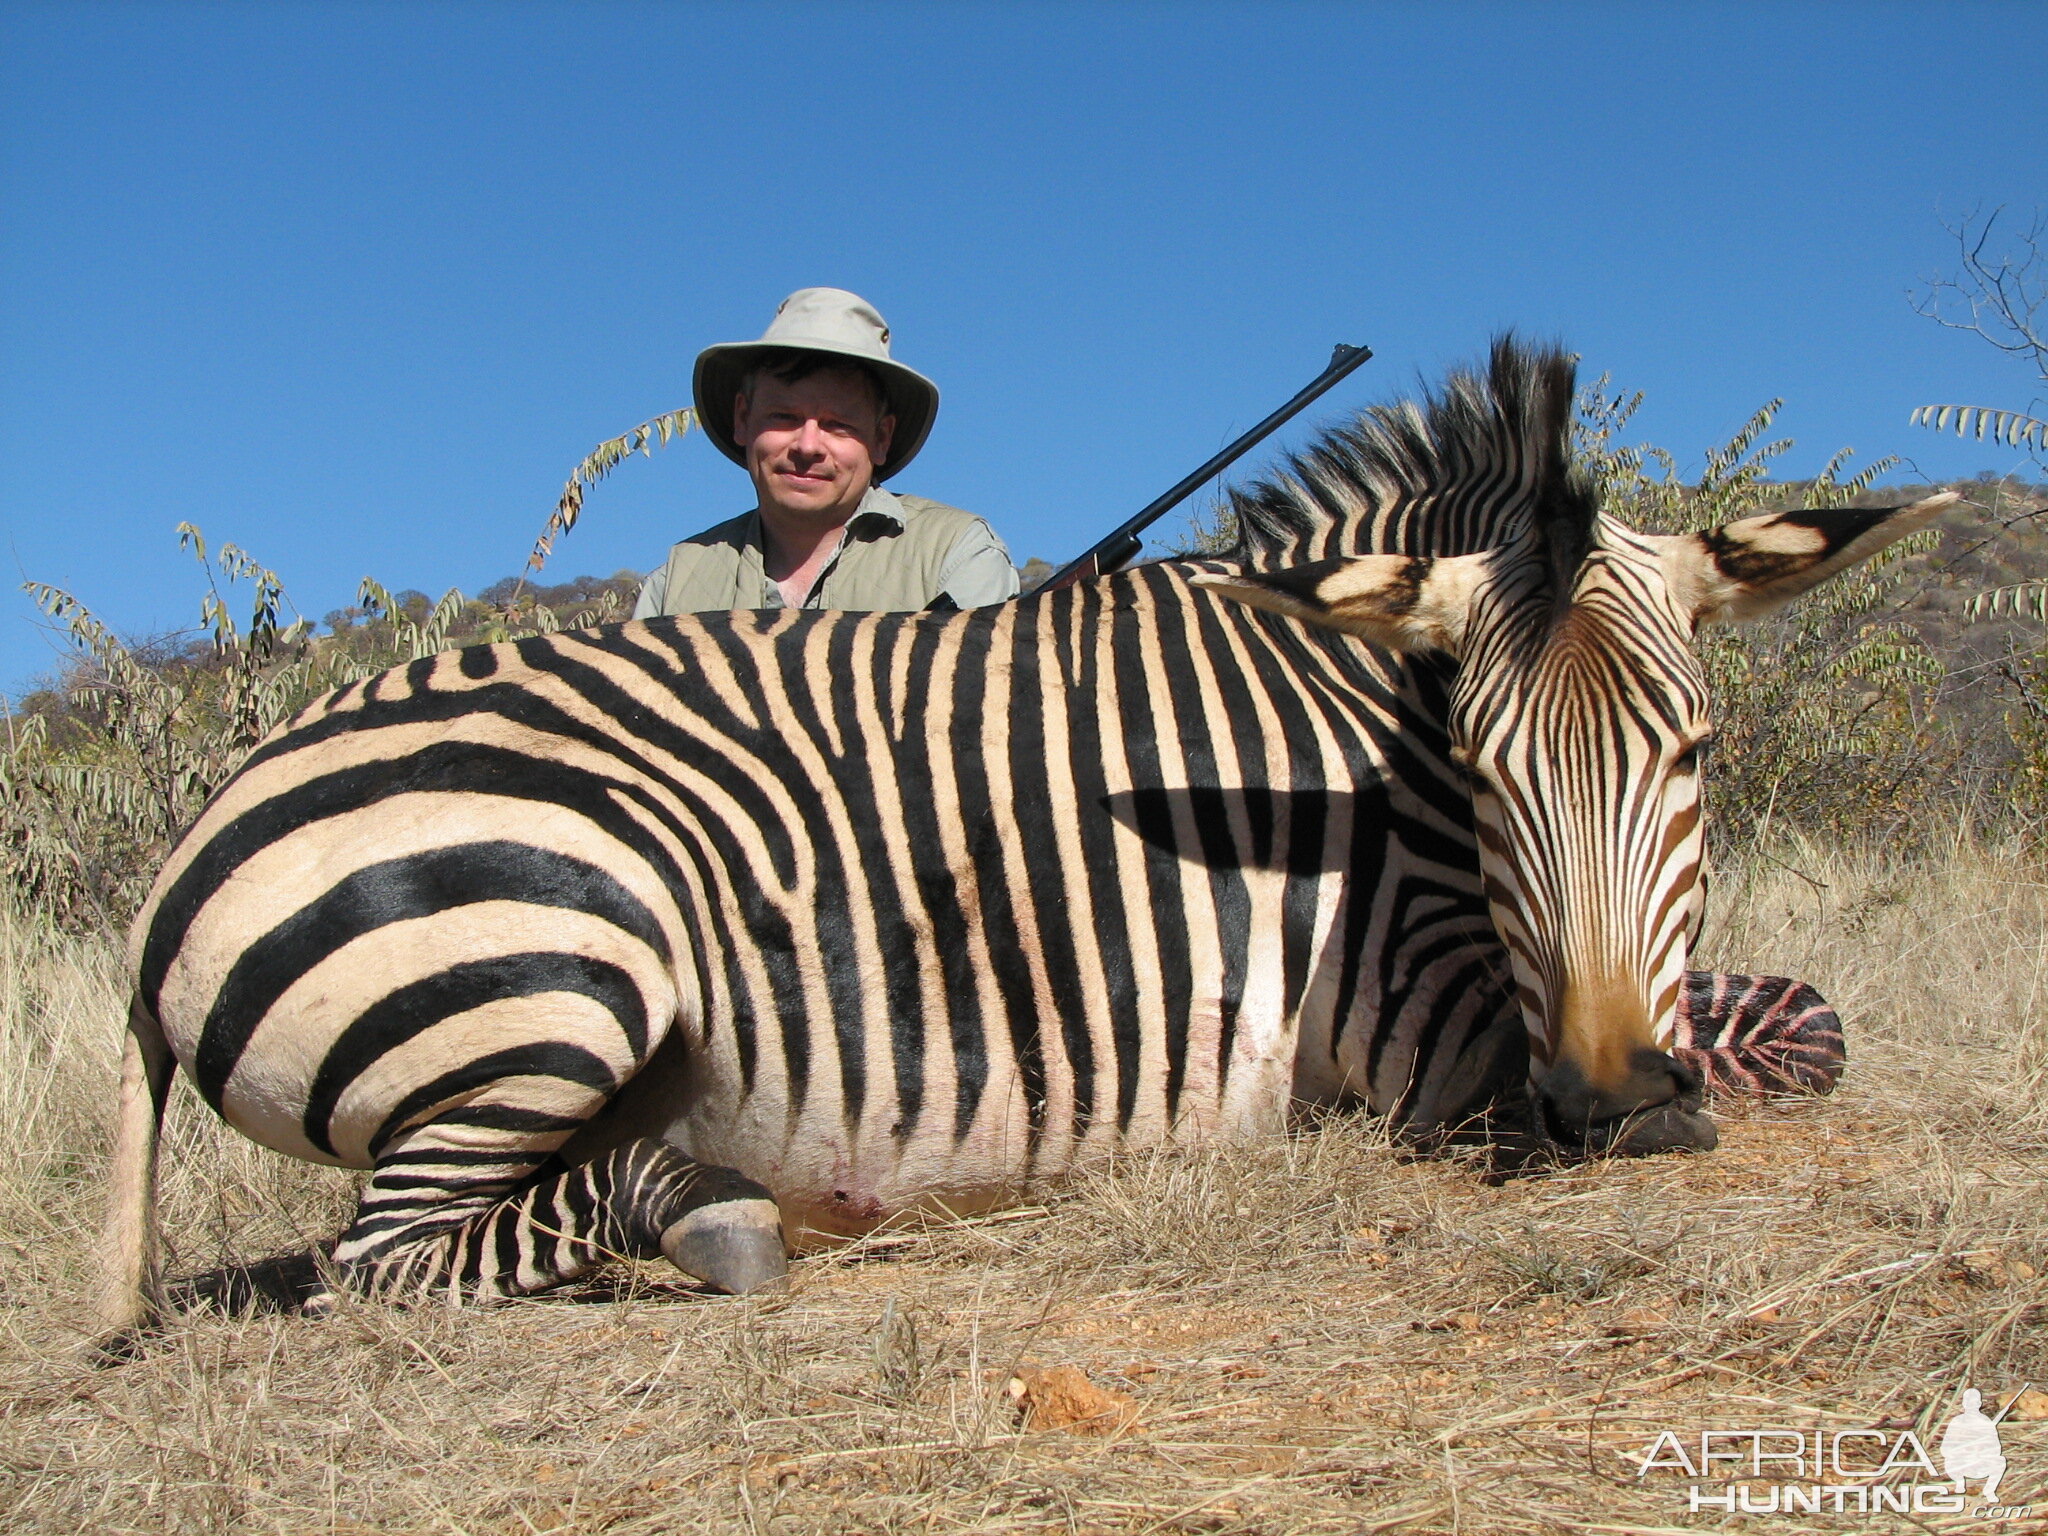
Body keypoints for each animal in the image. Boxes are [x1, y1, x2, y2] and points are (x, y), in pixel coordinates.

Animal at [96, 342, 1949, 1343]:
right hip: (563, 973)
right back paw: (725, 1214)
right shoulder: (1421, 1034)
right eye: (1485, 777)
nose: (1605, 1084)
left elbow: (1802, 1020)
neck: (1362, 757)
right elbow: (1734, 1068)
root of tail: (187, 848)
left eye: (1692, 754)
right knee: (380, 1264)